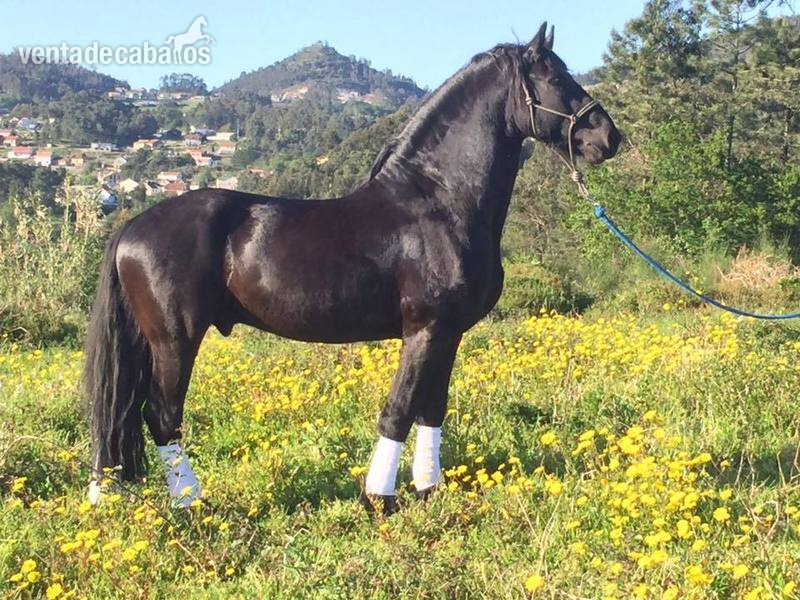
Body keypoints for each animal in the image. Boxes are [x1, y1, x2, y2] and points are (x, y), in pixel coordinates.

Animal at [85, 22, 621, 513]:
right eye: (554, 76)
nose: (607, 136)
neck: (438, 200)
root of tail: (132, 226)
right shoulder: (424, 329)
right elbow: (399, 410)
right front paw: (380, 497)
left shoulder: (448, 333)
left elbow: (432, 409)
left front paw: (429, 489)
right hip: (174, 340)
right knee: (162, 416)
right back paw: (191, 504)